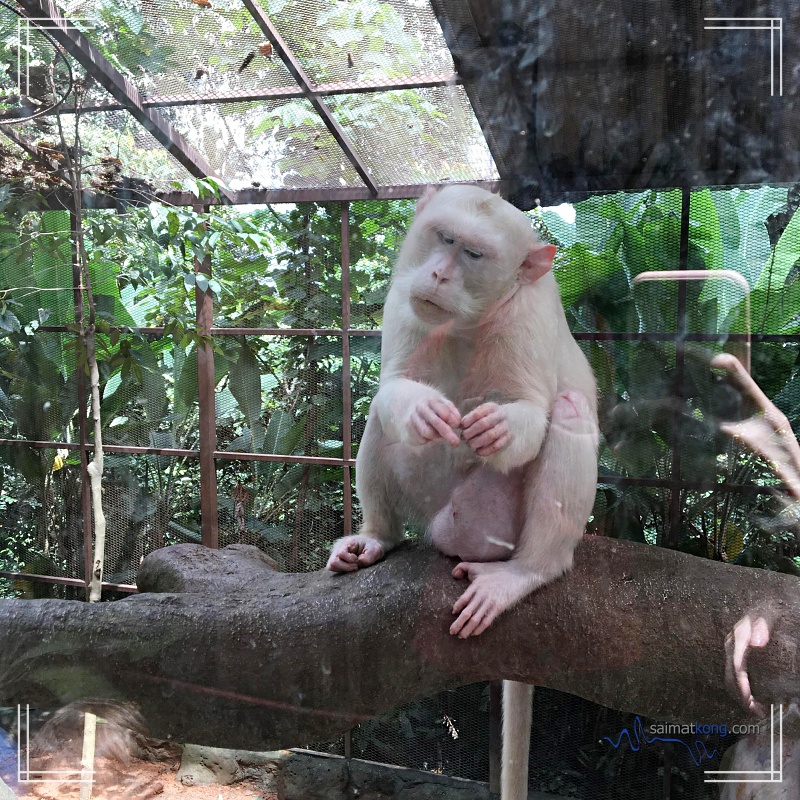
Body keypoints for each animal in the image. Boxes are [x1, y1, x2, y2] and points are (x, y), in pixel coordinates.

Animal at [328, 183, 596, 800]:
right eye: (443, 238)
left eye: (473, 255)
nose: (438, 274)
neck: (471, 321)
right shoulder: (403, 297)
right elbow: (394, 387)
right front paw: (419, 408)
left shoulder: (528, 315)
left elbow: (531, 418)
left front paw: (502, 427)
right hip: (432, 507)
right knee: (381, 416)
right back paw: (377, 538)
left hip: (491, 525)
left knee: (570, 412)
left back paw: (529, 572)